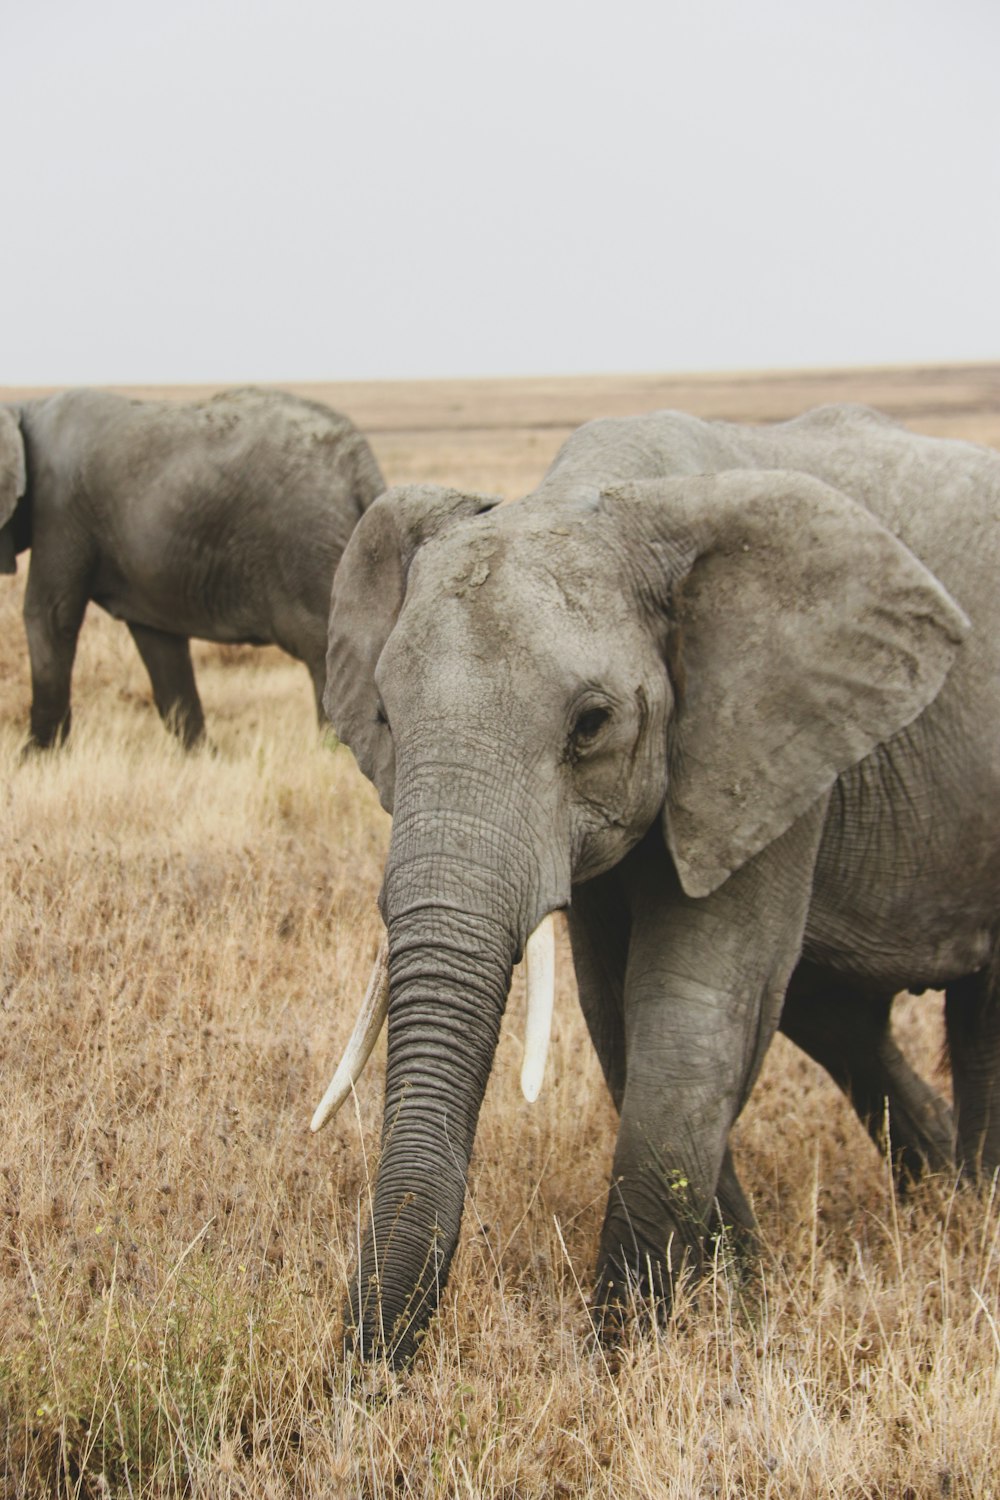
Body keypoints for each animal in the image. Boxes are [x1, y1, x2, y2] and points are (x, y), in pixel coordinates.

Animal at [0, 381, 383, 744]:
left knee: (325, 650)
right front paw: (202, 755)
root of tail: (359, 463)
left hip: (306, 541)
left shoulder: (58, 509)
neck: (23, 409)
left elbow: (49, 615)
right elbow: (160, 644)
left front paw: (33, 757)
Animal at [313, 405, 1000, 1368]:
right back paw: (945, 1200)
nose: (359, 1380)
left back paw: (972, 1215)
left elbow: (689, 1011)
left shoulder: (761, 737)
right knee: (840, 1019)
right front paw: (738, 1307)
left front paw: (621, 1354)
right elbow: (618, 1015)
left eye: (592, 724)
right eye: (383, 717)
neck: (603, 493)